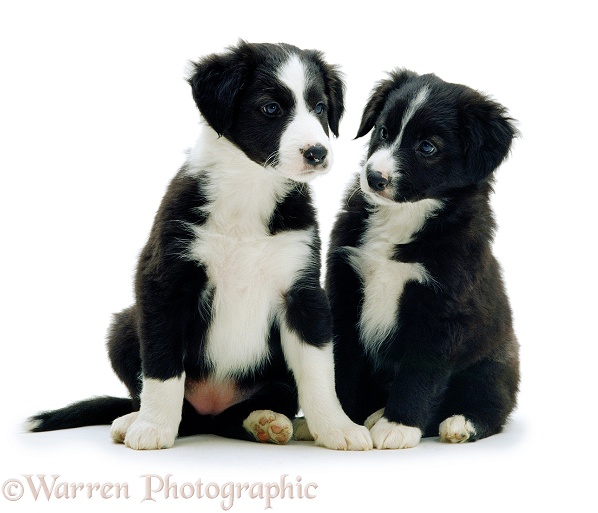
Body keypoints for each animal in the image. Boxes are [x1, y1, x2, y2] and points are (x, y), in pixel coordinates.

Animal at [31, 40, 376, 450]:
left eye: (320, 107)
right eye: (270, 108)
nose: (317, 153)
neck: (249, 191)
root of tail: (213, 408)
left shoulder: (302, 291)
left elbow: (318, 370)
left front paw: (337, 427)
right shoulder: (164, 282)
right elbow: (163, 365)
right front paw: (153, 427)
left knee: (240, 414)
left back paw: (267, 422)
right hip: (125, 325)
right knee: (177, 407)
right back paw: (133, 419)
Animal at [328, 69, 520, 448]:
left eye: (428, 147)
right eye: (383, 131)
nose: (374, 178)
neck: (402, 218)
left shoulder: (442, 310)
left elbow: (420, 372)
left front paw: (397, 426)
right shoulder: (345, 285)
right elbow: (343, 362)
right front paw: (341, 422)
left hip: (493, 360)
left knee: (492, 403)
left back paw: (460, 423)